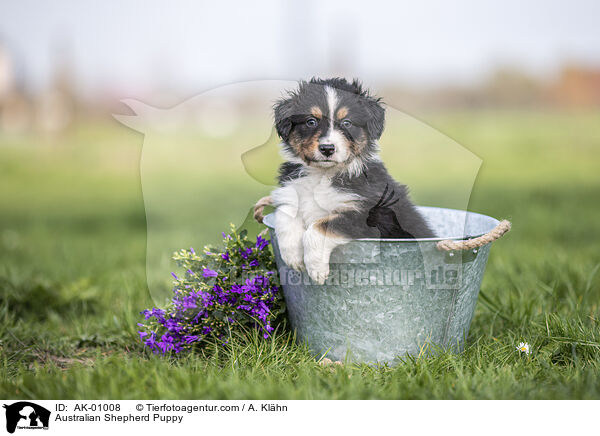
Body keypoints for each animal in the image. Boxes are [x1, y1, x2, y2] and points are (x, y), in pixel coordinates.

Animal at [270, 77, 434, 282]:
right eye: (311, 121)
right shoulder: (290, 192)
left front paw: (316, 268)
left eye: (347, 122)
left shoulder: (366, 214)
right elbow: (284, 214)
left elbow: (318, 227)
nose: (327, 148)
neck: (323, 175)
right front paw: (293, 257)